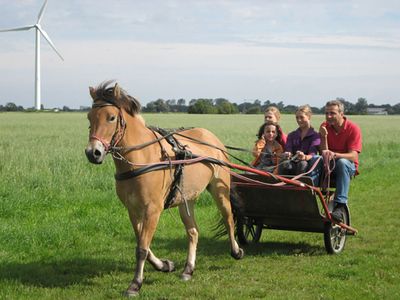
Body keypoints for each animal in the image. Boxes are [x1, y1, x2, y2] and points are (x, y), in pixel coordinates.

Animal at [84, 81, 244, 296]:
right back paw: (188, 269)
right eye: (89, 117)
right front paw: (163, 265)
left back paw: (236, 251)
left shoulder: (153, 210)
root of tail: (213, 138)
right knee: (193, 232)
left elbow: (142, 248)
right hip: (186, 200)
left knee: (228, 219)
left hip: (220, 191)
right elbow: (142, 241)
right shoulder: (133, 210)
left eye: (111, 117)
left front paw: (135, 284)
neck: (142, 157)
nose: (93, 152)